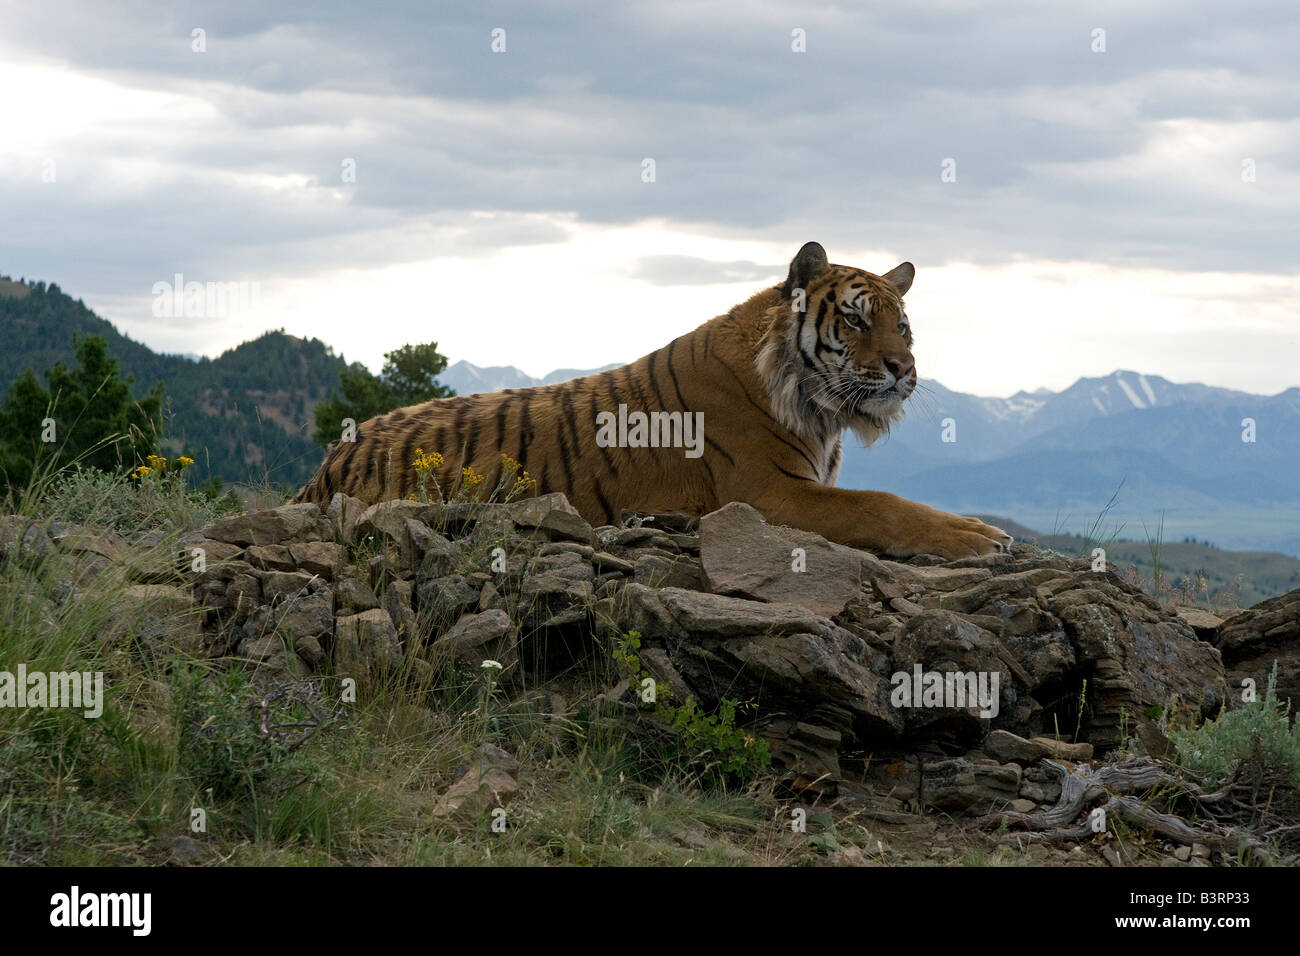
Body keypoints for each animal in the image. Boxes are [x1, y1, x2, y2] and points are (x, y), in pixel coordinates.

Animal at [297, 239, 1013, 564]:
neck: (818, 409)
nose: (904, 369)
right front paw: (980, 535)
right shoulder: (771, 494)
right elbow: (882, 505)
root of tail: (329, 461)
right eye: (859, 320)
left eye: (905, 327)